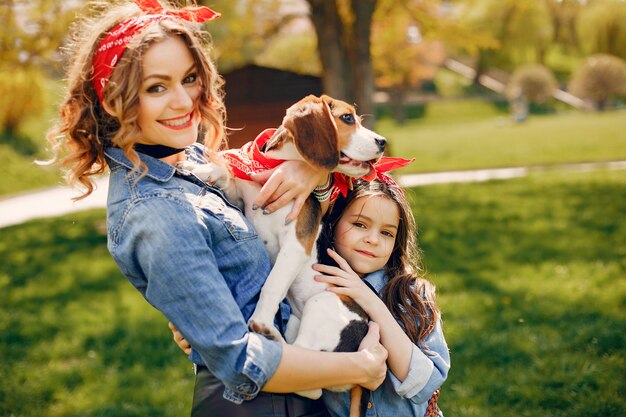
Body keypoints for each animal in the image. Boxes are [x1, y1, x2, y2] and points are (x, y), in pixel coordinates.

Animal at [183, 93, 382, 406]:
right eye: (348, 118)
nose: (383, 142)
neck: (275, 167)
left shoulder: (297, 242)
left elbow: (273, 284)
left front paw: (261, 319)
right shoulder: (239, 198)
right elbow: (227, 175)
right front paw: (203, 168)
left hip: (324, 303)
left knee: (310, 379)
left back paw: (270, 339)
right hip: (302, 320)